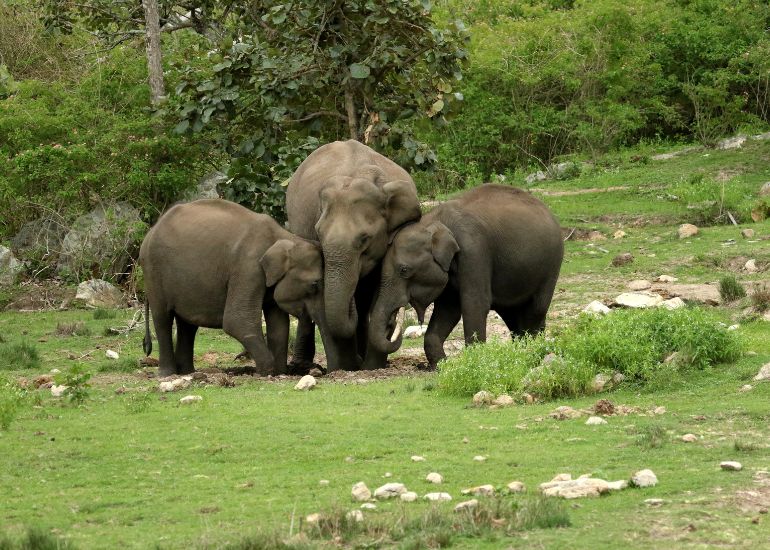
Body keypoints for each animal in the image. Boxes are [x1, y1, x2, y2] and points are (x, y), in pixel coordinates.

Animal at [140, 199, 334, 377]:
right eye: (314, 284)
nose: (327, 371)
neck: (283, 235)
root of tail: (150, 232)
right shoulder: (248, 268)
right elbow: (237, 321)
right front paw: (266, 372)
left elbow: (279, 326)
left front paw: (280, 373)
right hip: (153, 272)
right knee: (163, 318)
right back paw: (168, 375)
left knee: (187, 325)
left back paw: (188, 372)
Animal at [367, 184, 564, 368]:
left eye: (404, 270)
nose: (392, 328)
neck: (435, 221)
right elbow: (448, 310)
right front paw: (442, 366)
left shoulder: (474, 252)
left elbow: (474, 304)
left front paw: (475, 363)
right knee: (512, 314)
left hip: (552, 264)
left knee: (536, 309)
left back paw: (532, 349)